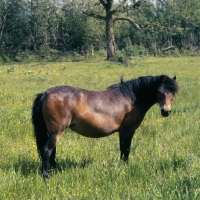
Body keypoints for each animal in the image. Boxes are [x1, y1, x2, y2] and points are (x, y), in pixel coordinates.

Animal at [32, 74, 179, 177]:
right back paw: (46, 176)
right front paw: (126, 166)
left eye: (173, 93)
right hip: (56, 132)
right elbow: (127, 149)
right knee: (47, 151)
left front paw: (121, 165)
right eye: (159, 91)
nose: (166, 111)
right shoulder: (129, 130)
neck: (131, 97)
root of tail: (46, 93)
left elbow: (122, 148)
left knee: (52, 152)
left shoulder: (122, 131)